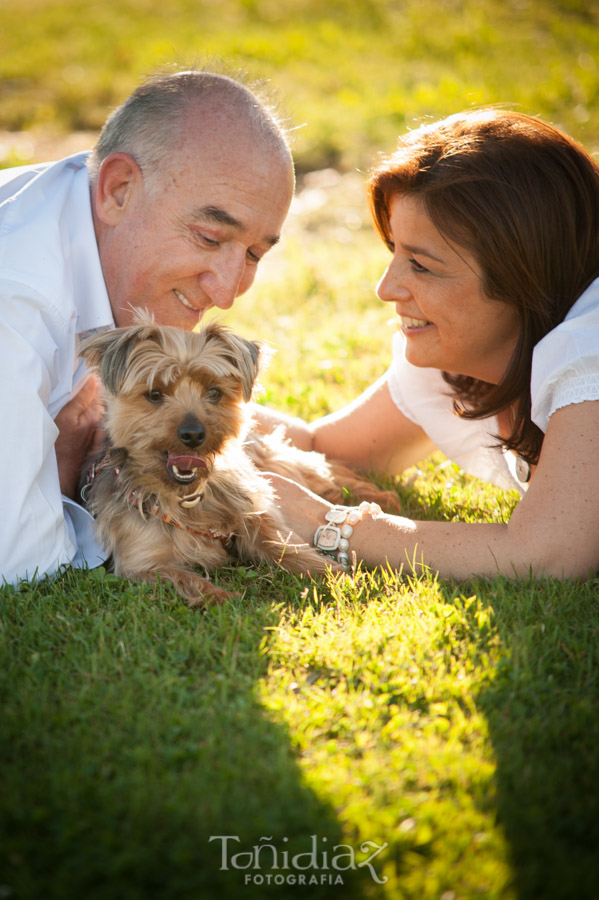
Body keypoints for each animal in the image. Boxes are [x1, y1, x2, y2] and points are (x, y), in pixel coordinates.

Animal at [78, 316, 398, 604]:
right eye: (154, 394)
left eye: (214, 392)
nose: (193, 433)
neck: (186, 497)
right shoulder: (142, 562)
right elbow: (185, 579)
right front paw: (223, 597)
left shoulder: (253, 509)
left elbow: (283, 544)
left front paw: (336, 575)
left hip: (267, 457)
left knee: (319, 468)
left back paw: (377, 495)